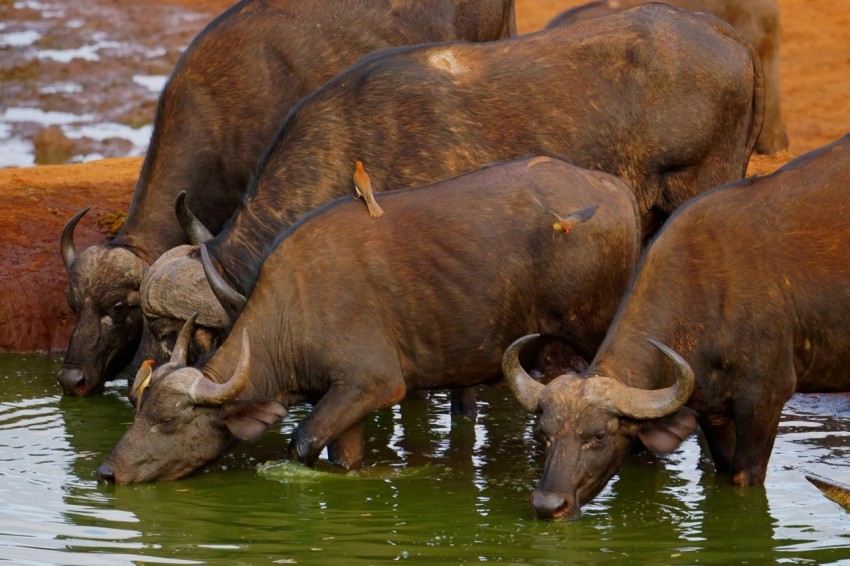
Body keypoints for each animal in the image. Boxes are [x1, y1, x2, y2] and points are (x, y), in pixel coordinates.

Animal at [97, 155, 644, 484]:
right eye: (138, 411)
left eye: (168, 420)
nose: (107, 472)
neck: (294, 309)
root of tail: (613, 189)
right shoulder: (346, 402)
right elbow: (341, 458)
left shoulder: (374, 384)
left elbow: (299, 443)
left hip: (596, 327)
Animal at [500, 133, 848, 524]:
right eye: (543, 433)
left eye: (600, 435)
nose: (548, 505)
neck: (708, 291)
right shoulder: (714, 414)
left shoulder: (765, 402)